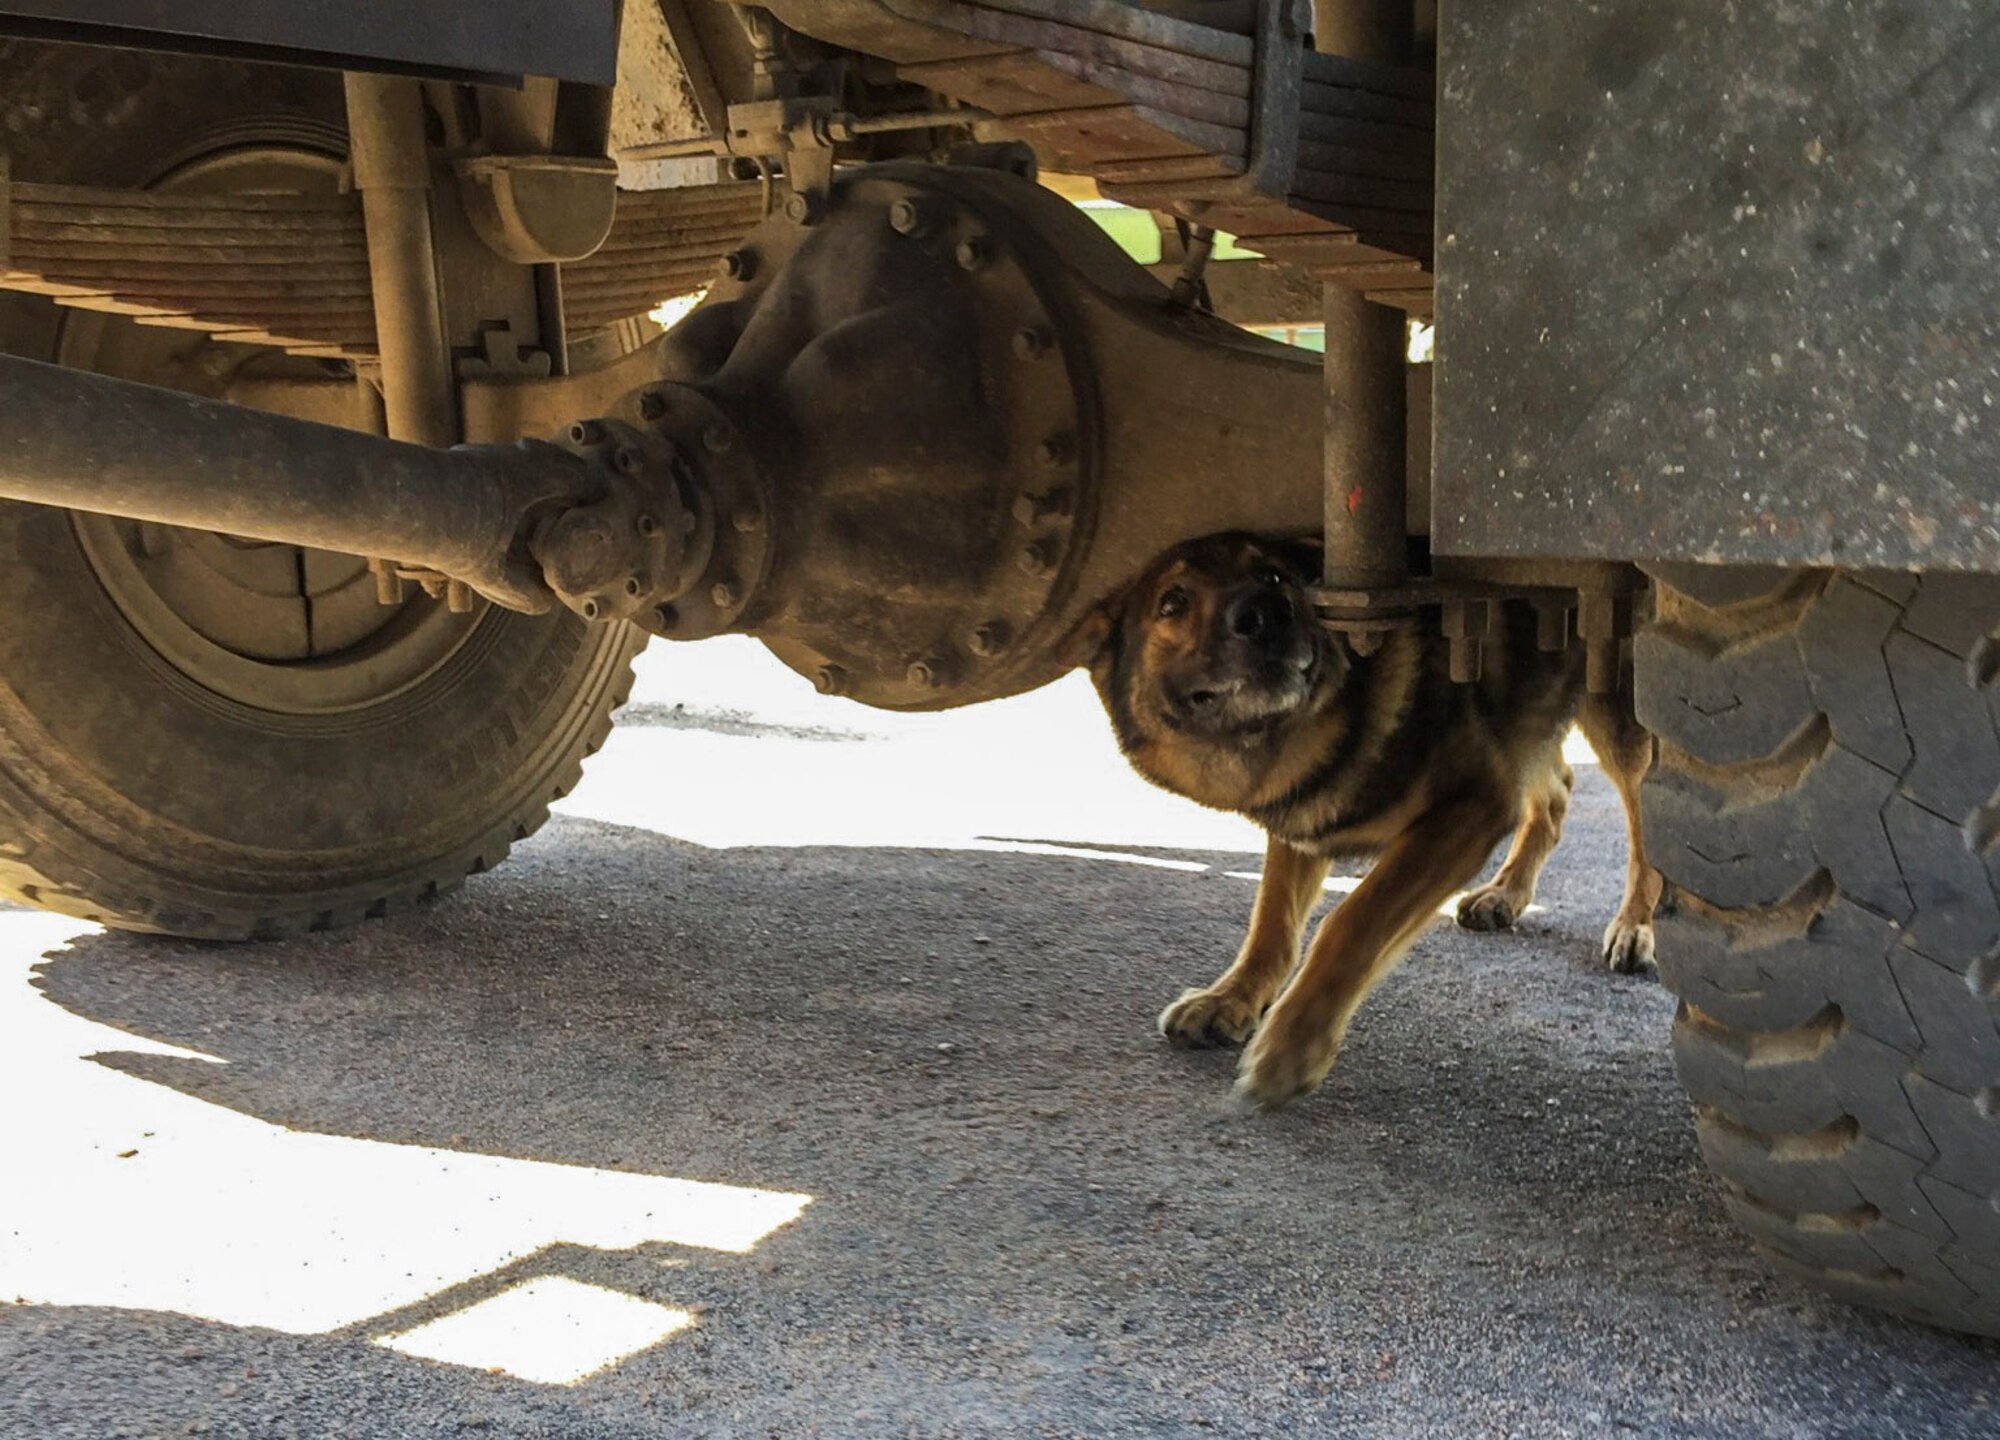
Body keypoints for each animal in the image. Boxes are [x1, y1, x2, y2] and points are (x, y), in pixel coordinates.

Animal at [1080, 536, 1656, 1112]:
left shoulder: (1470, 806)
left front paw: (1294, 1043)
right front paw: (1232, 996)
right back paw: (1507, 892)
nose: (1267, 613)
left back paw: (1637, 924)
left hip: (1614, 711)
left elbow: (1350, 921)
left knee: (1644, 818)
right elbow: (1271, 921)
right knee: (1556, 791)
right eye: (1171, 603)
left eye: (1273, 577)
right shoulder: (1305, 817)